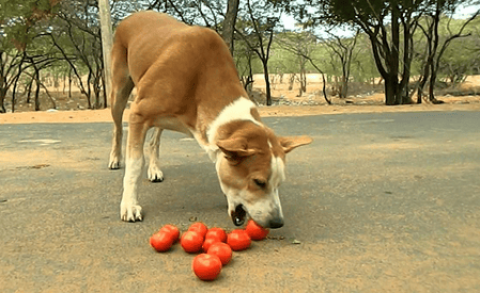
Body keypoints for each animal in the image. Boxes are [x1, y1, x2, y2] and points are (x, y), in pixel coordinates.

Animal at [107, 11, 314, 227]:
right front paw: (129, 205)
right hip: (119, 92)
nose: (277, 222)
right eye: (258, 182)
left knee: (154, 140)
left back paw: (154, 168)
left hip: (158, 118)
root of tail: (135, 14)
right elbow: (134, 165)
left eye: (279, 183)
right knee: (117, 128)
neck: (200, 77)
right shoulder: (138, 115)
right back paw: (115, 158)